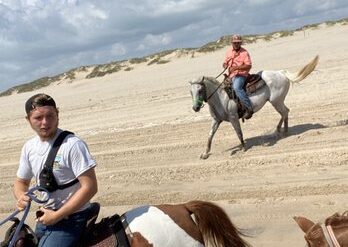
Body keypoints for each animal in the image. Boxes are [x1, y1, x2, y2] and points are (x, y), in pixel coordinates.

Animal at [189, 55, 320, 159]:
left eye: (200, 90)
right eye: (190, 92)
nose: (195, 108)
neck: (221, 97)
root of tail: (281, 73)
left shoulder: (233, 117)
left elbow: (239, 132)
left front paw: (243, 148)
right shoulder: (216, 120)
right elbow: (210, 135)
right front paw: (205, 153)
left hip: (276, 101)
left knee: (285, 112)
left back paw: (283, 131)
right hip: (277, 101)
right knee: (285, 112)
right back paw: (281, 131)